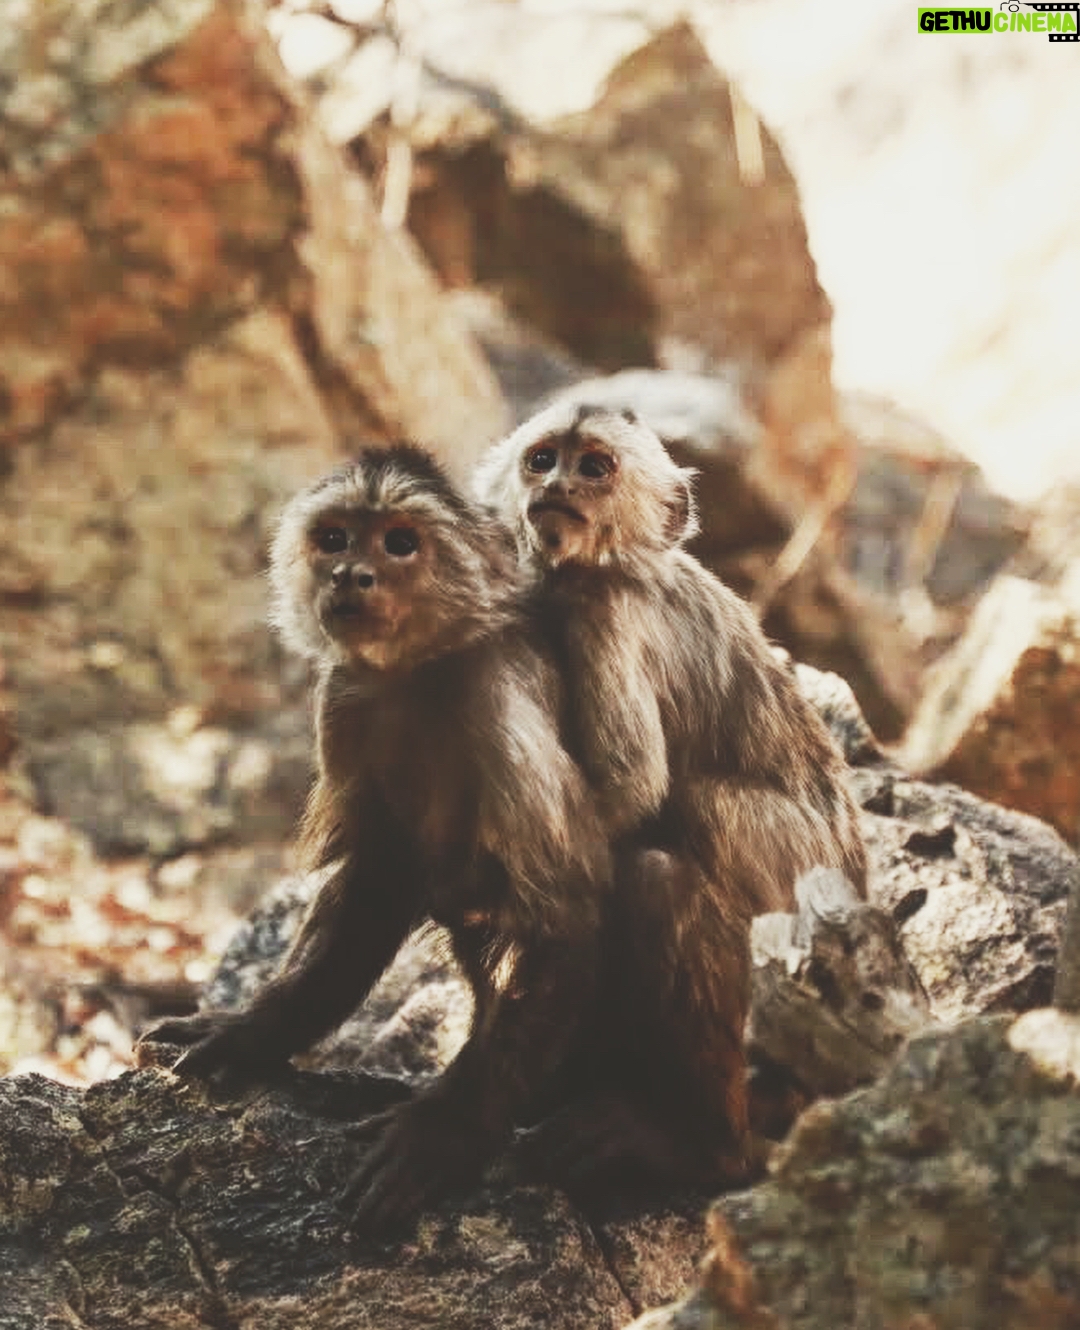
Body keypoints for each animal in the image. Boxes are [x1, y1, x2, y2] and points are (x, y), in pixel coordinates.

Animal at [136, 444, 612, 1230]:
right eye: (335, 539)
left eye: (399, 543)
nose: (351, 574)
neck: (425, 669)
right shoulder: (347, 698)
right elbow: (379, 881)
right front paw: (253, 1033)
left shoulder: (501, 697)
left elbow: (565, 913)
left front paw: (447, 1132)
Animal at [473, 401, 868, 1189]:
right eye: (542, 460)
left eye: (595, 467)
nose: (557, 487)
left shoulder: (605, 612)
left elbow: (628, 790)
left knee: (683, 832)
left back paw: (701, 1144)